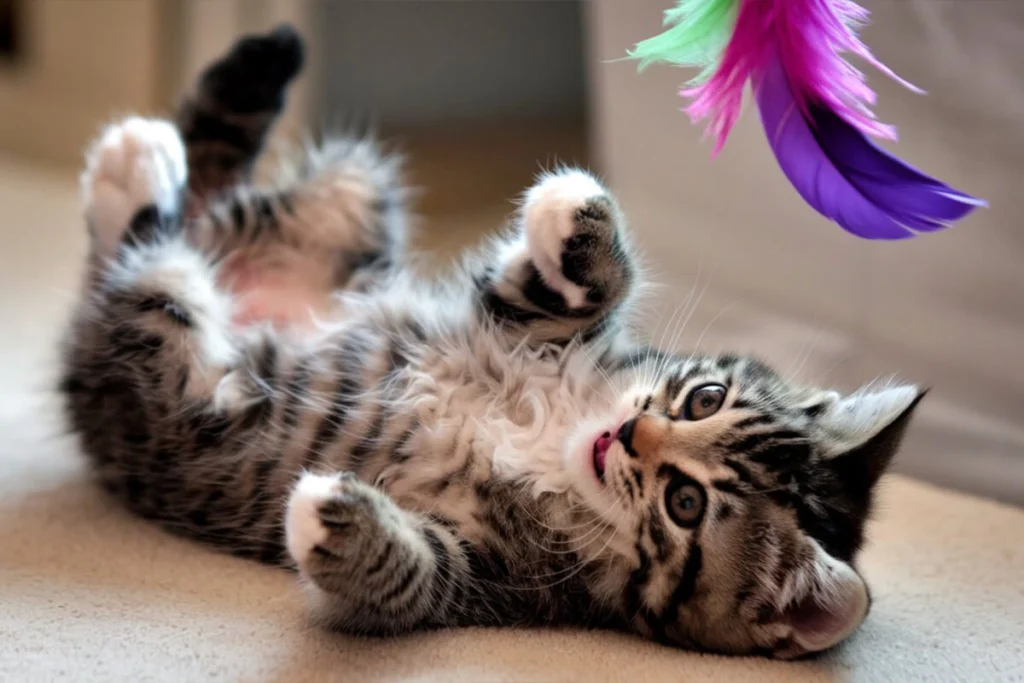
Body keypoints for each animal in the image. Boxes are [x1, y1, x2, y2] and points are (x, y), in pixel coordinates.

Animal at [59, 26, 925, 655]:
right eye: (703, 397)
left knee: (143, 263)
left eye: (685, 502)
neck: (561, 440)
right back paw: (148, 149)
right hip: (354, 190)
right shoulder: (511, 326)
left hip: (161, 354)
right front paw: (579, 214)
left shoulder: (492, 573)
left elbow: (407, 580)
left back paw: (134, 177)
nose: (631, 431)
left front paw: (336, 523)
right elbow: (571, 291)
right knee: (193, 207)